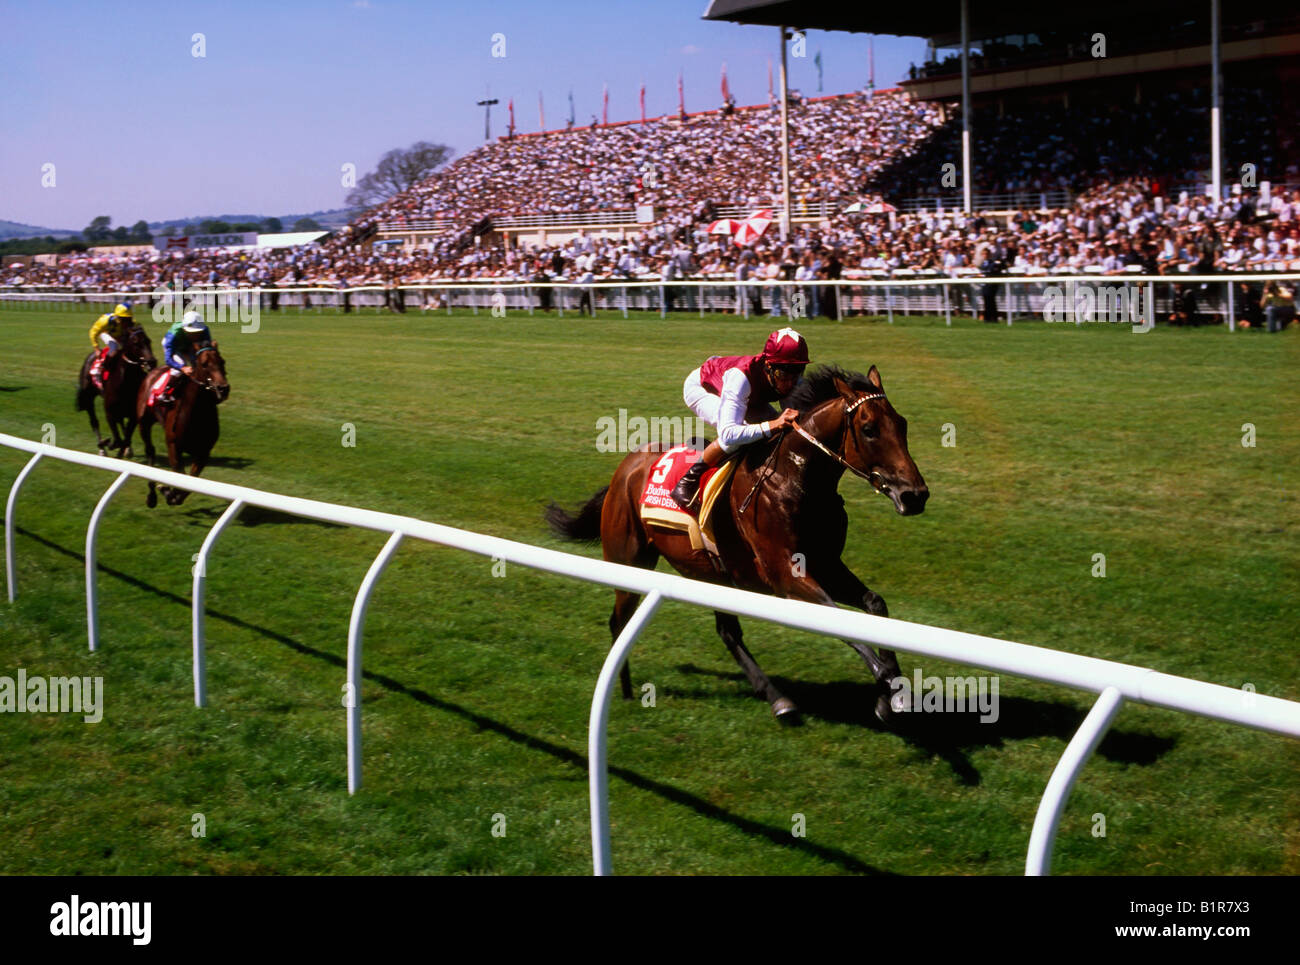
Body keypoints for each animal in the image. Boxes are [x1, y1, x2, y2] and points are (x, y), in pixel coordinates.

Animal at [75, 326, 155, 460]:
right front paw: (108, 444)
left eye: (149, 341)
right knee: (94, 421)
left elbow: (126, 438)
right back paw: (102, 448)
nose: (151, 362)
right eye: (136, 343)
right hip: (89, 398)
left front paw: (124, 451)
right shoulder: (109, 412)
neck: (125, 381)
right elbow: (117, 439)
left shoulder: (133, 415)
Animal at [137, 343, 231, 509]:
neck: (196, 414)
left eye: (222, 361)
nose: (223, 388)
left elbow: (191, 481)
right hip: (144, 423)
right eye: (204, 364)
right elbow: (179, 474)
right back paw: (152, 496)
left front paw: (172, 495)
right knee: (150, 452)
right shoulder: (173, 445)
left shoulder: (204, 452)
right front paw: (167, 491)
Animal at [543, 364, 930, 728]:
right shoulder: (785, 575)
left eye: (903, 424)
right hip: (629, 561)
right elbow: (836, 619)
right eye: (869, 429)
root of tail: (625, 467)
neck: (795, 478)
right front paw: (885, 682)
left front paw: (894, 695)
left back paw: (778, 698)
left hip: (711, 574)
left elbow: (875, 605)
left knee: (727, 632)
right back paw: (623, 689)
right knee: (619, 621)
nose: (915, 495)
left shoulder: (826, 564)